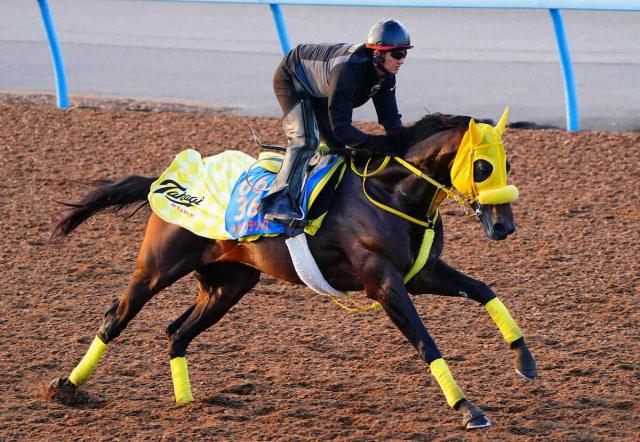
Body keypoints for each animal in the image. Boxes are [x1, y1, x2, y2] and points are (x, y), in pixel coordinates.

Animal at [47, 108, 536, 430]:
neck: (390, 193)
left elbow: (484, 289)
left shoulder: (421, 275)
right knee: (116, 317)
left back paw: (187, 401)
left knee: (175, 331)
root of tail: (165, 181)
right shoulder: (383, 283)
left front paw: (524, 361)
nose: (504, 226)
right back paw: (66, 387)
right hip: (156, 269)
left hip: (230, 284)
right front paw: (468, 409)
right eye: (482, 166)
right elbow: (425, 342)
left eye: (509, 163)